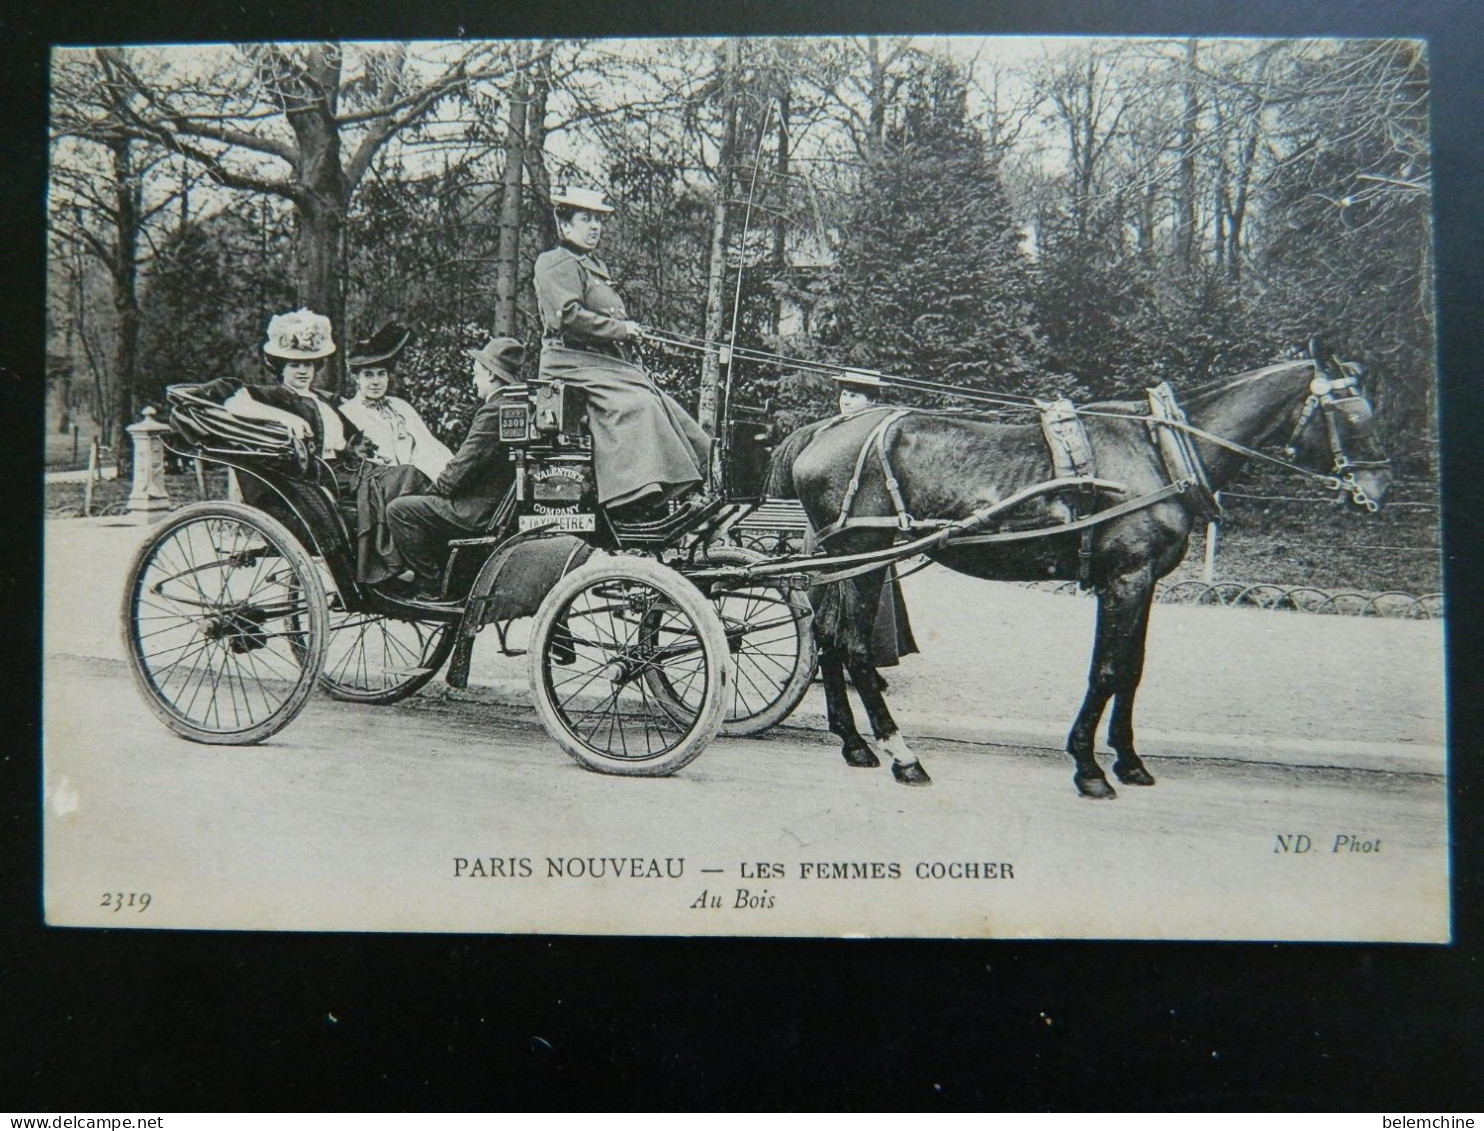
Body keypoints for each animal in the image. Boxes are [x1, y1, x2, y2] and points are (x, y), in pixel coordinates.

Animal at [765, 344, 1389, 795]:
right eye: (1350, 413)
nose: (1378, 488)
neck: (1159, 452)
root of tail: (824, 431)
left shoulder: (1143, 582)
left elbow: (1131, 669)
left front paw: (1129, 761)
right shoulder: (1125, 579)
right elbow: (1107, 671)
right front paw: (1089, 767)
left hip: (841, 560)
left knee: (828, 640)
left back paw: (854, 744)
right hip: (865, 556)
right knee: (856, 648)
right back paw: (902, 754)